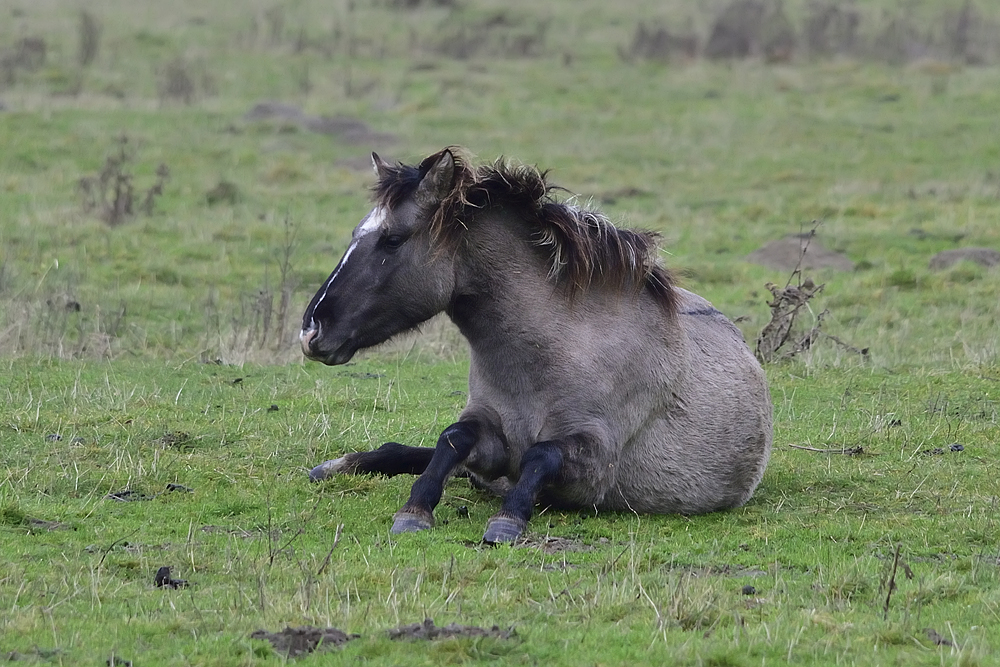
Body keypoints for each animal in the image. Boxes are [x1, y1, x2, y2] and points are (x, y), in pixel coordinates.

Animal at [298, 147, 772, 544]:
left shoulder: (594, 465)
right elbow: (452, 438)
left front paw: (507, 519)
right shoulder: (487, 438)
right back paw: (339, 465)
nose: (310, 331)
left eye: (392, 239)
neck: (549, 355)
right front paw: (415, 509)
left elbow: (539, 455)